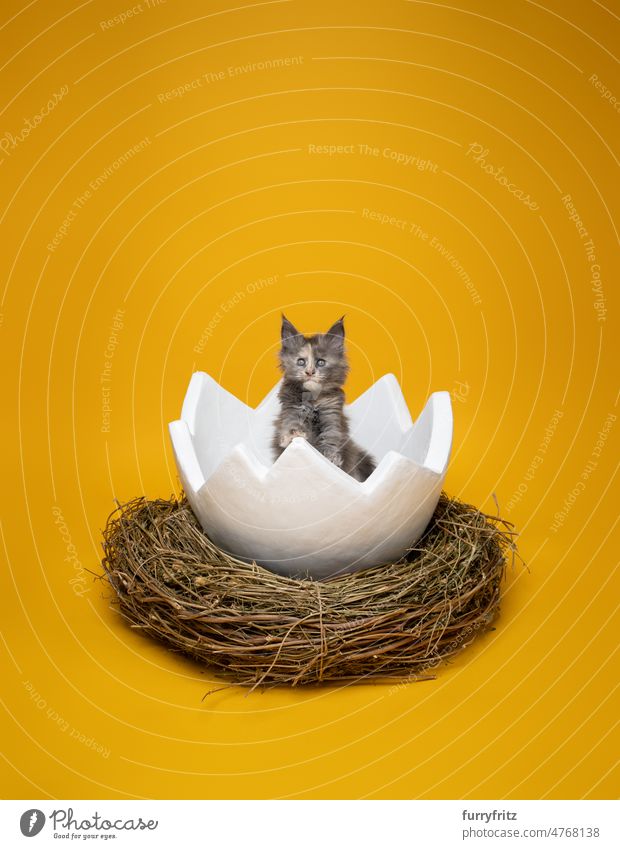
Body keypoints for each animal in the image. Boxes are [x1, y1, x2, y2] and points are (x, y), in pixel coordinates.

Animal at [272, 314, 378, 480]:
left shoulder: (331, 413)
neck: (313, 399)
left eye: (321, 362)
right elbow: (291, 423)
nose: (309, 372)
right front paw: (292, 435)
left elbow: (330, 437)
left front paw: (330, 458)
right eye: (300, 361)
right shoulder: (291, 408)